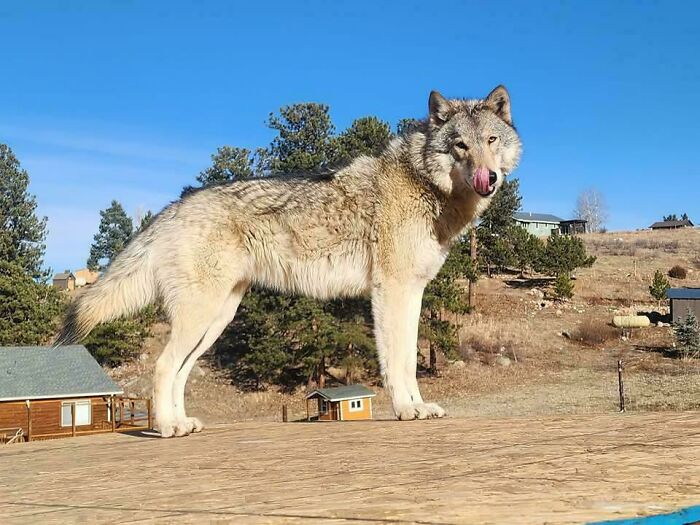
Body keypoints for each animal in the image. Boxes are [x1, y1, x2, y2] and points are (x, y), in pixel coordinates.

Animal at [57, 86, 522, 437]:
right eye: (460, 146)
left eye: (491, 141)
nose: (489, 178)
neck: (426, 187)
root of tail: (172, 207)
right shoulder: (390, 292)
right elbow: (400, 362)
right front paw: (407, 410)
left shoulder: (412, 293)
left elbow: (408, 358)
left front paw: (419, 407)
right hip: (199, 318)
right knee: (162, 366)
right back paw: (167, 428)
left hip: (215, 321)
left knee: (179, 372)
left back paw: (182, 424)